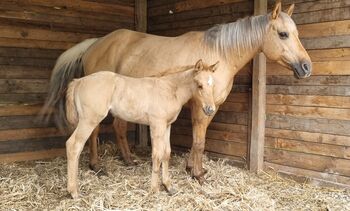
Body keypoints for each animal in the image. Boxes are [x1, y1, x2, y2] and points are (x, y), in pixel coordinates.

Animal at [65, 59, 217, 198]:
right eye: (199, 85)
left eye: (212, 85)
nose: (210, 109)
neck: (169, 89)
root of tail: (79, 81)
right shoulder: (157, 125)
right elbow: (157, 155)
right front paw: (154, 189)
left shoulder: (167, 125)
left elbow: (166, 153)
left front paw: (168, 186)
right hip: (89, 121)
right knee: (73, 145)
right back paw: (74, 192)